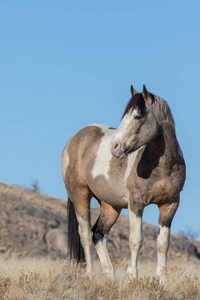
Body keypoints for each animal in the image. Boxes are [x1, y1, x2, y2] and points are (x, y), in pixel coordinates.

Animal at [61, 84, 186, 278]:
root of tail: (73, 140)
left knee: (98, 234)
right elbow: (136, 240)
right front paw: (132, 276)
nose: (114, 147)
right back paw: (90, 274)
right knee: (85, 234)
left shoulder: (170, 204)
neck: (163, 167)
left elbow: (163, 243)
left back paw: (110, 275)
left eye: (137, 116)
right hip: (80, 195)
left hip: (111, 206)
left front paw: (162, 279)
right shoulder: (136, 204)